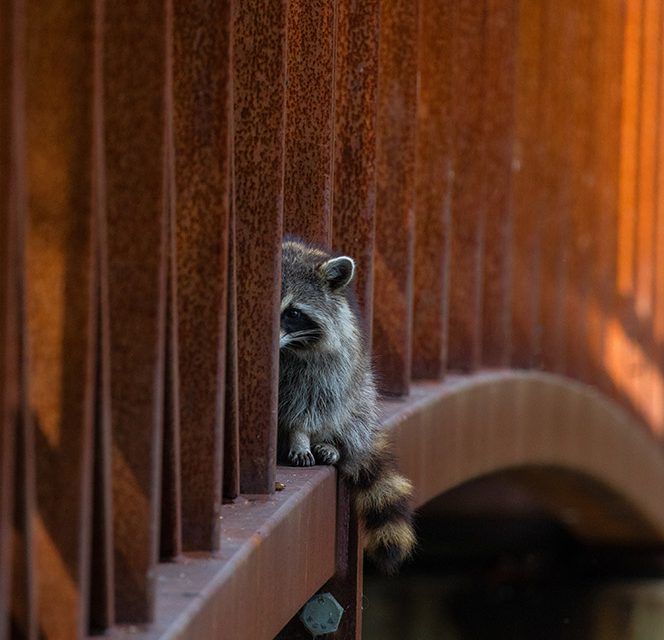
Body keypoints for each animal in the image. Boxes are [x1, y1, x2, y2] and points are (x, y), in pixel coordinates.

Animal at [278, 238, 416, 572]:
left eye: (294, 312)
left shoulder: (330, 359)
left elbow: (313, 401)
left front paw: (300, 435)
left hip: (360, 390)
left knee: (349, 406)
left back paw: (332, 443)